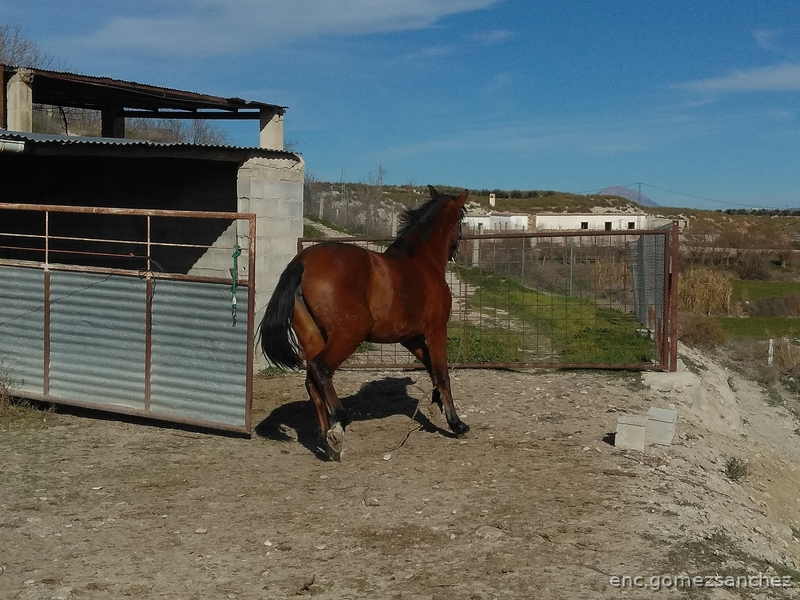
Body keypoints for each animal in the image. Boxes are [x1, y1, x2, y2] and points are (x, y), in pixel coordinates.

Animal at [259, 185, 472, 460]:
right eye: (461, 220)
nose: (457, 251)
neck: (421, 262)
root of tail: (302, 261)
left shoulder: (410, 338)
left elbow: (431, 367)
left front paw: (438, 402)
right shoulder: (435, 330)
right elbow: (442, 372)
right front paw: (457, 424)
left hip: (313, 337)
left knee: (312, 382)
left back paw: (327, 443)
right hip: (349, 334)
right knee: (320, 369)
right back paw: (339, 424)